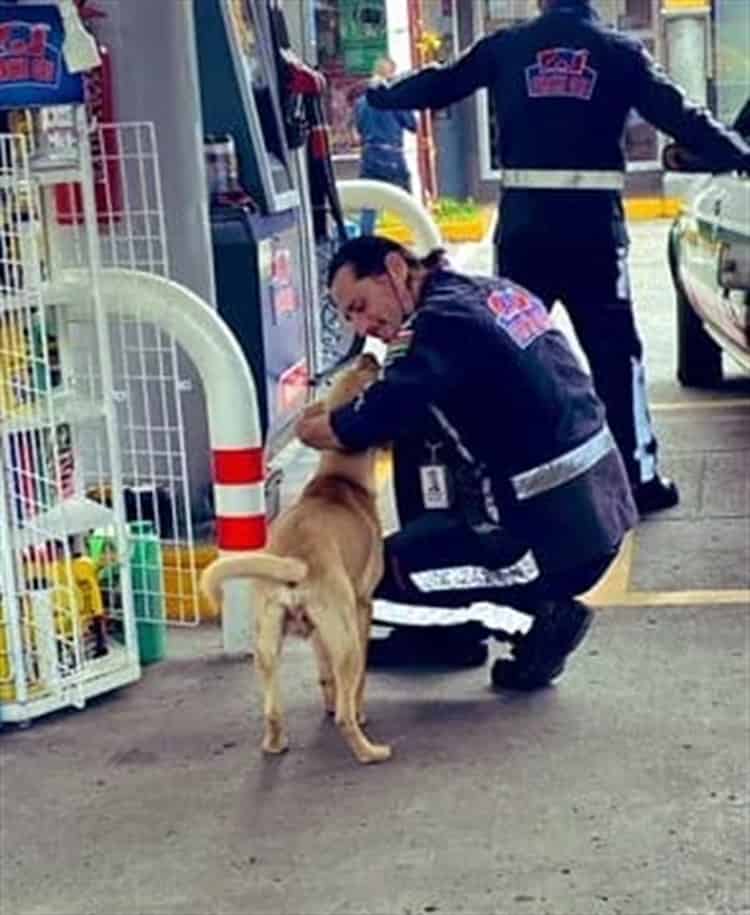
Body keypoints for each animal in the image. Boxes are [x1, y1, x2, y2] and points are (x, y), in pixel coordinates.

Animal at [201, 358, 394, 764]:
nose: (368, 358)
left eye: (340, 379)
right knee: (345, 714)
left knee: (273, 711)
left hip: (267, 645)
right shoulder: (362, 607)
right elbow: (356, 686)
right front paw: (358, 709)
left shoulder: (320, 634)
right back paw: (370, 751)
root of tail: (297, 561)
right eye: (366, 385)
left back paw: (276, 744)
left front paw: (329, 699)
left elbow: (325, 673)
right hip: (347, 640)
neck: (338, 477)